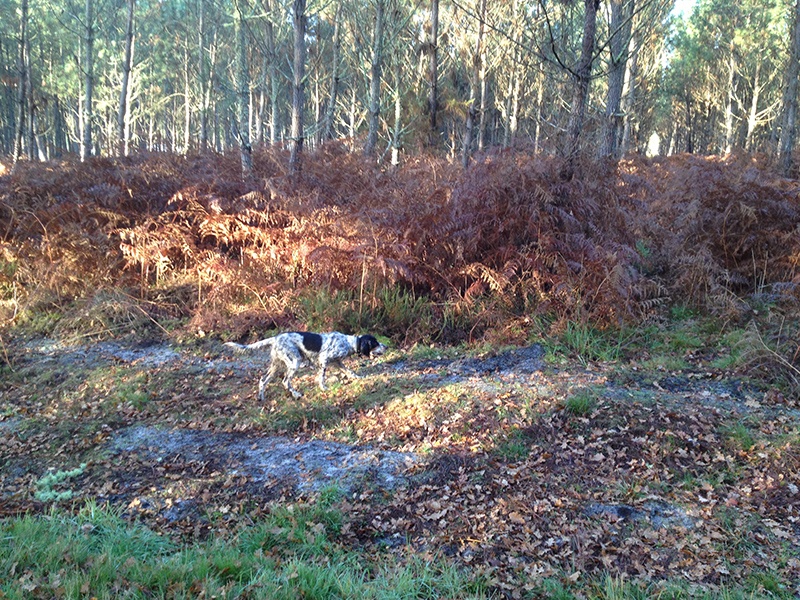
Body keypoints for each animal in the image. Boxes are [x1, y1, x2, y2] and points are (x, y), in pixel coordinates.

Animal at [225, 332, 388, 398]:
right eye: (375, 342)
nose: (386, 346)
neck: (349, 343)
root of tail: (275, 338)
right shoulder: (324, 359)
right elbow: (322, 377)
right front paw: (323, 388)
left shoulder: (337, 362)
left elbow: (350, 371)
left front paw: (359, 378)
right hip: (294, 361)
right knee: (285, 381)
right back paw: (296, 394)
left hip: (277, 366)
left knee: (263, 380)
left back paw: (261, 397)